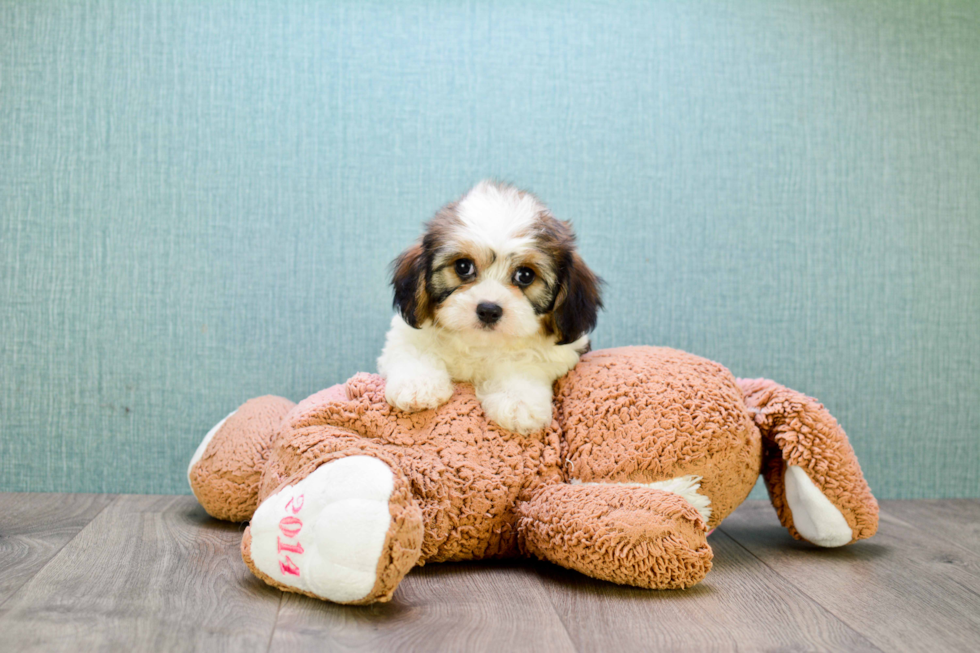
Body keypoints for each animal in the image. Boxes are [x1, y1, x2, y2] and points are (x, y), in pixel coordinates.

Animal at [378, 180, 600, 432]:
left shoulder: (557, 354)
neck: (480, 345)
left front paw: (518, 402)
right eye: (463, 266)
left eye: (525, 275)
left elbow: (526, 365)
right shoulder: (406, 334)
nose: (488, 310)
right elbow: (414, 350)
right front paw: (417, 384)